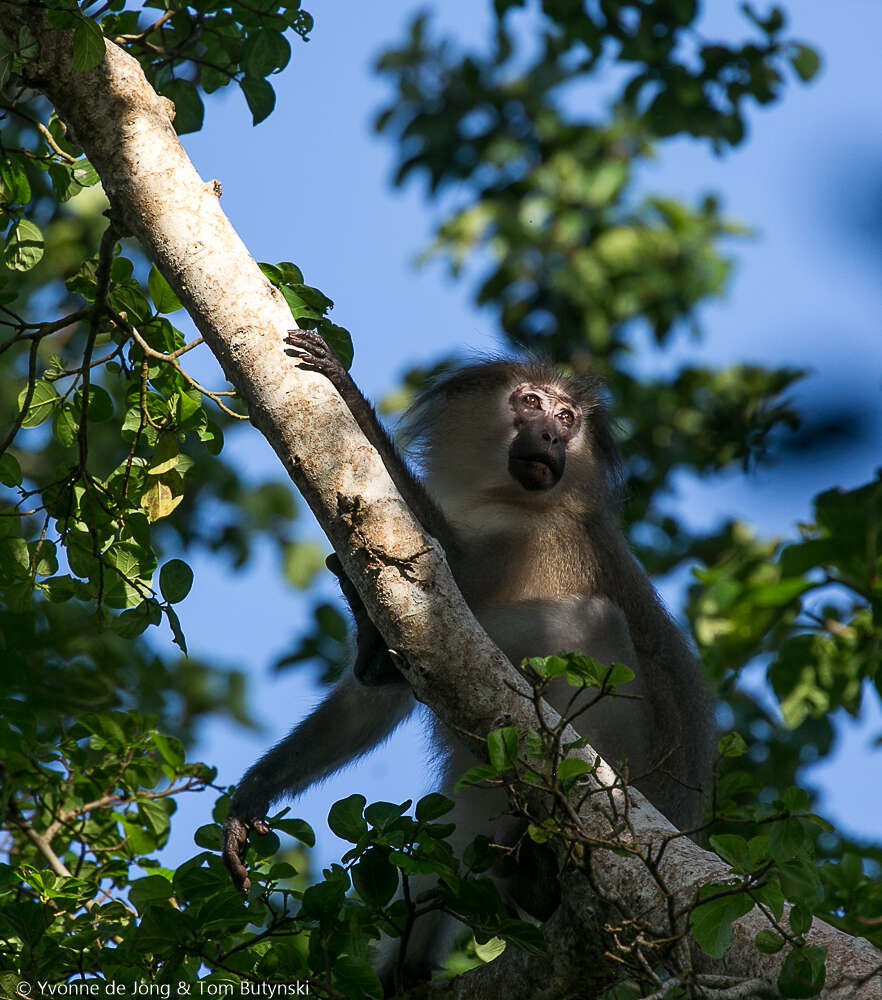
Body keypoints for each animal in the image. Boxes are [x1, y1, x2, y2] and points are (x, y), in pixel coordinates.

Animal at [222, 334, 716, 984]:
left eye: (568, 419)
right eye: (531, 402)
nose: (552, 437)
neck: (501, 495)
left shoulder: (534, 534)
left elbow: (444, 587)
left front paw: (349, 394)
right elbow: (380, 690)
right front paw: (256, 791)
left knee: (591, 623)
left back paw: (540, 872)